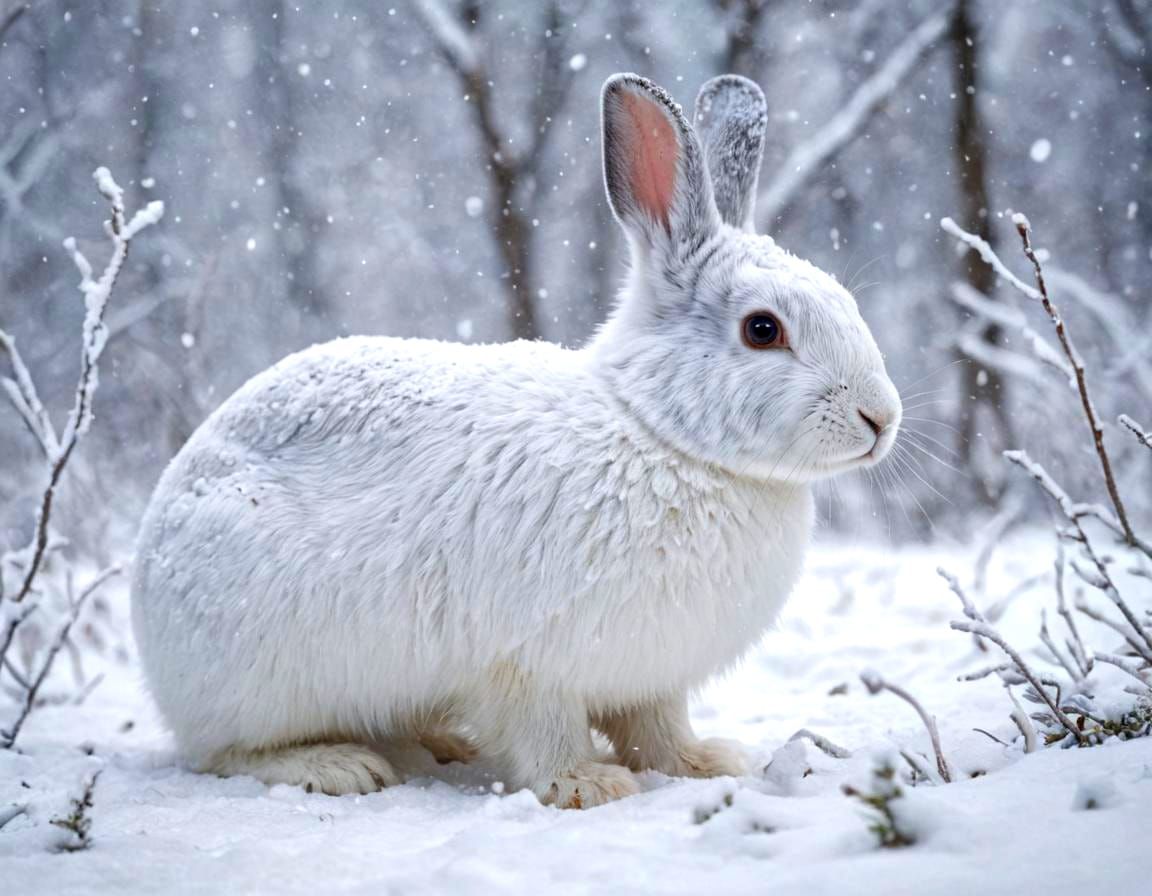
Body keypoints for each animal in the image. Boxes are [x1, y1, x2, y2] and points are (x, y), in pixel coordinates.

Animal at [131, 72, 901, 808]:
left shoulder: (652, 679)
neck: (657, 428)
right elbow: (543, 731)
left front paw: (704, 763)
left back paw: (441, 744)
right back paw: (339, 766)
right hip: (260, 673)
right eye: (762, 329)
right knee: (224, 753)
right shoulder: (524, 663)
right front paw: (587, 786)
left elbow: (657, 729)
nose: (881, 418)